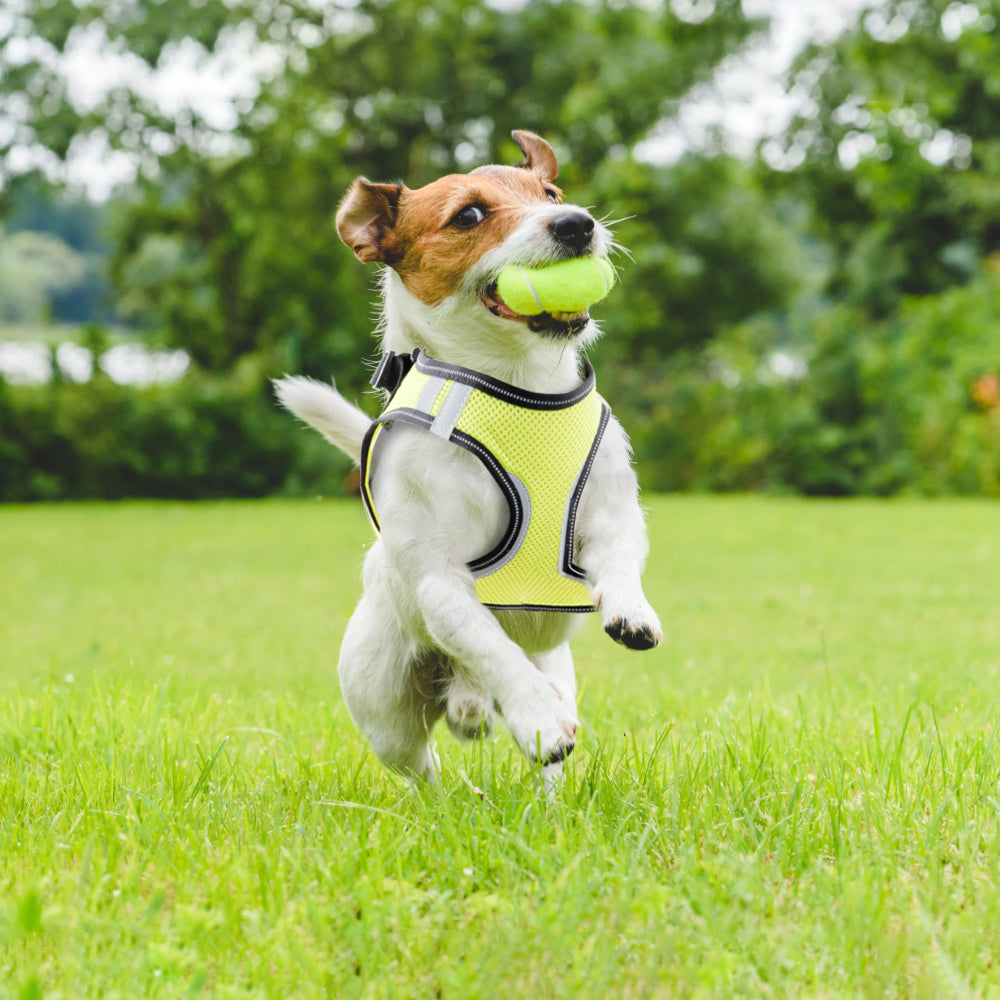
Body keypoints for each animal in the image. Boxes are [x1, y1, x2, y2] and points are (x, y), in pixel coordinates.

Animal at [278, 131, 660, 780]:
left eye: (550, 192)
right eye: (469, 215)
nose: (577, 223)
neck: (520, 386)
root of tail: (458, 688)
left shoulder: (614, 512)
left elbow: (619, 558)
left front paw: (630, 609)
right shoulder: (442, 582)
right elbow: (489, 645)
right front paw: (535, 716)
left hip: (555, 670)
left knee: (544, 748)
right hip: (386, 709)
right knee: (425, 765)